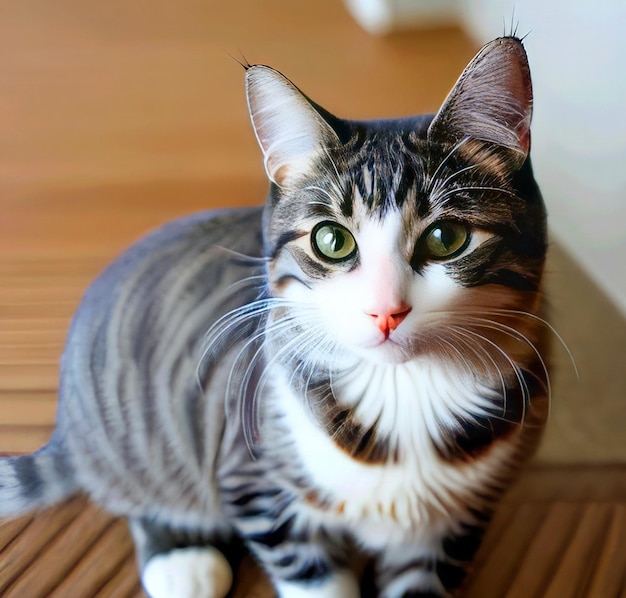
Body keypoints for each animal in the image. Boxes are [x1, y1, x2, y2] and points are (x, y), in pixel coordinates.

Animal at [0, 37, 544, 598]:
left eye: (446, 237)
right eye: (332, 241)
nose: (385, 311)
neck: (404, 393)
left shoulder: (453, 525)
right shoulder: (257, 480)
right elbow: (313, 576)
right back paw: (183, 560)